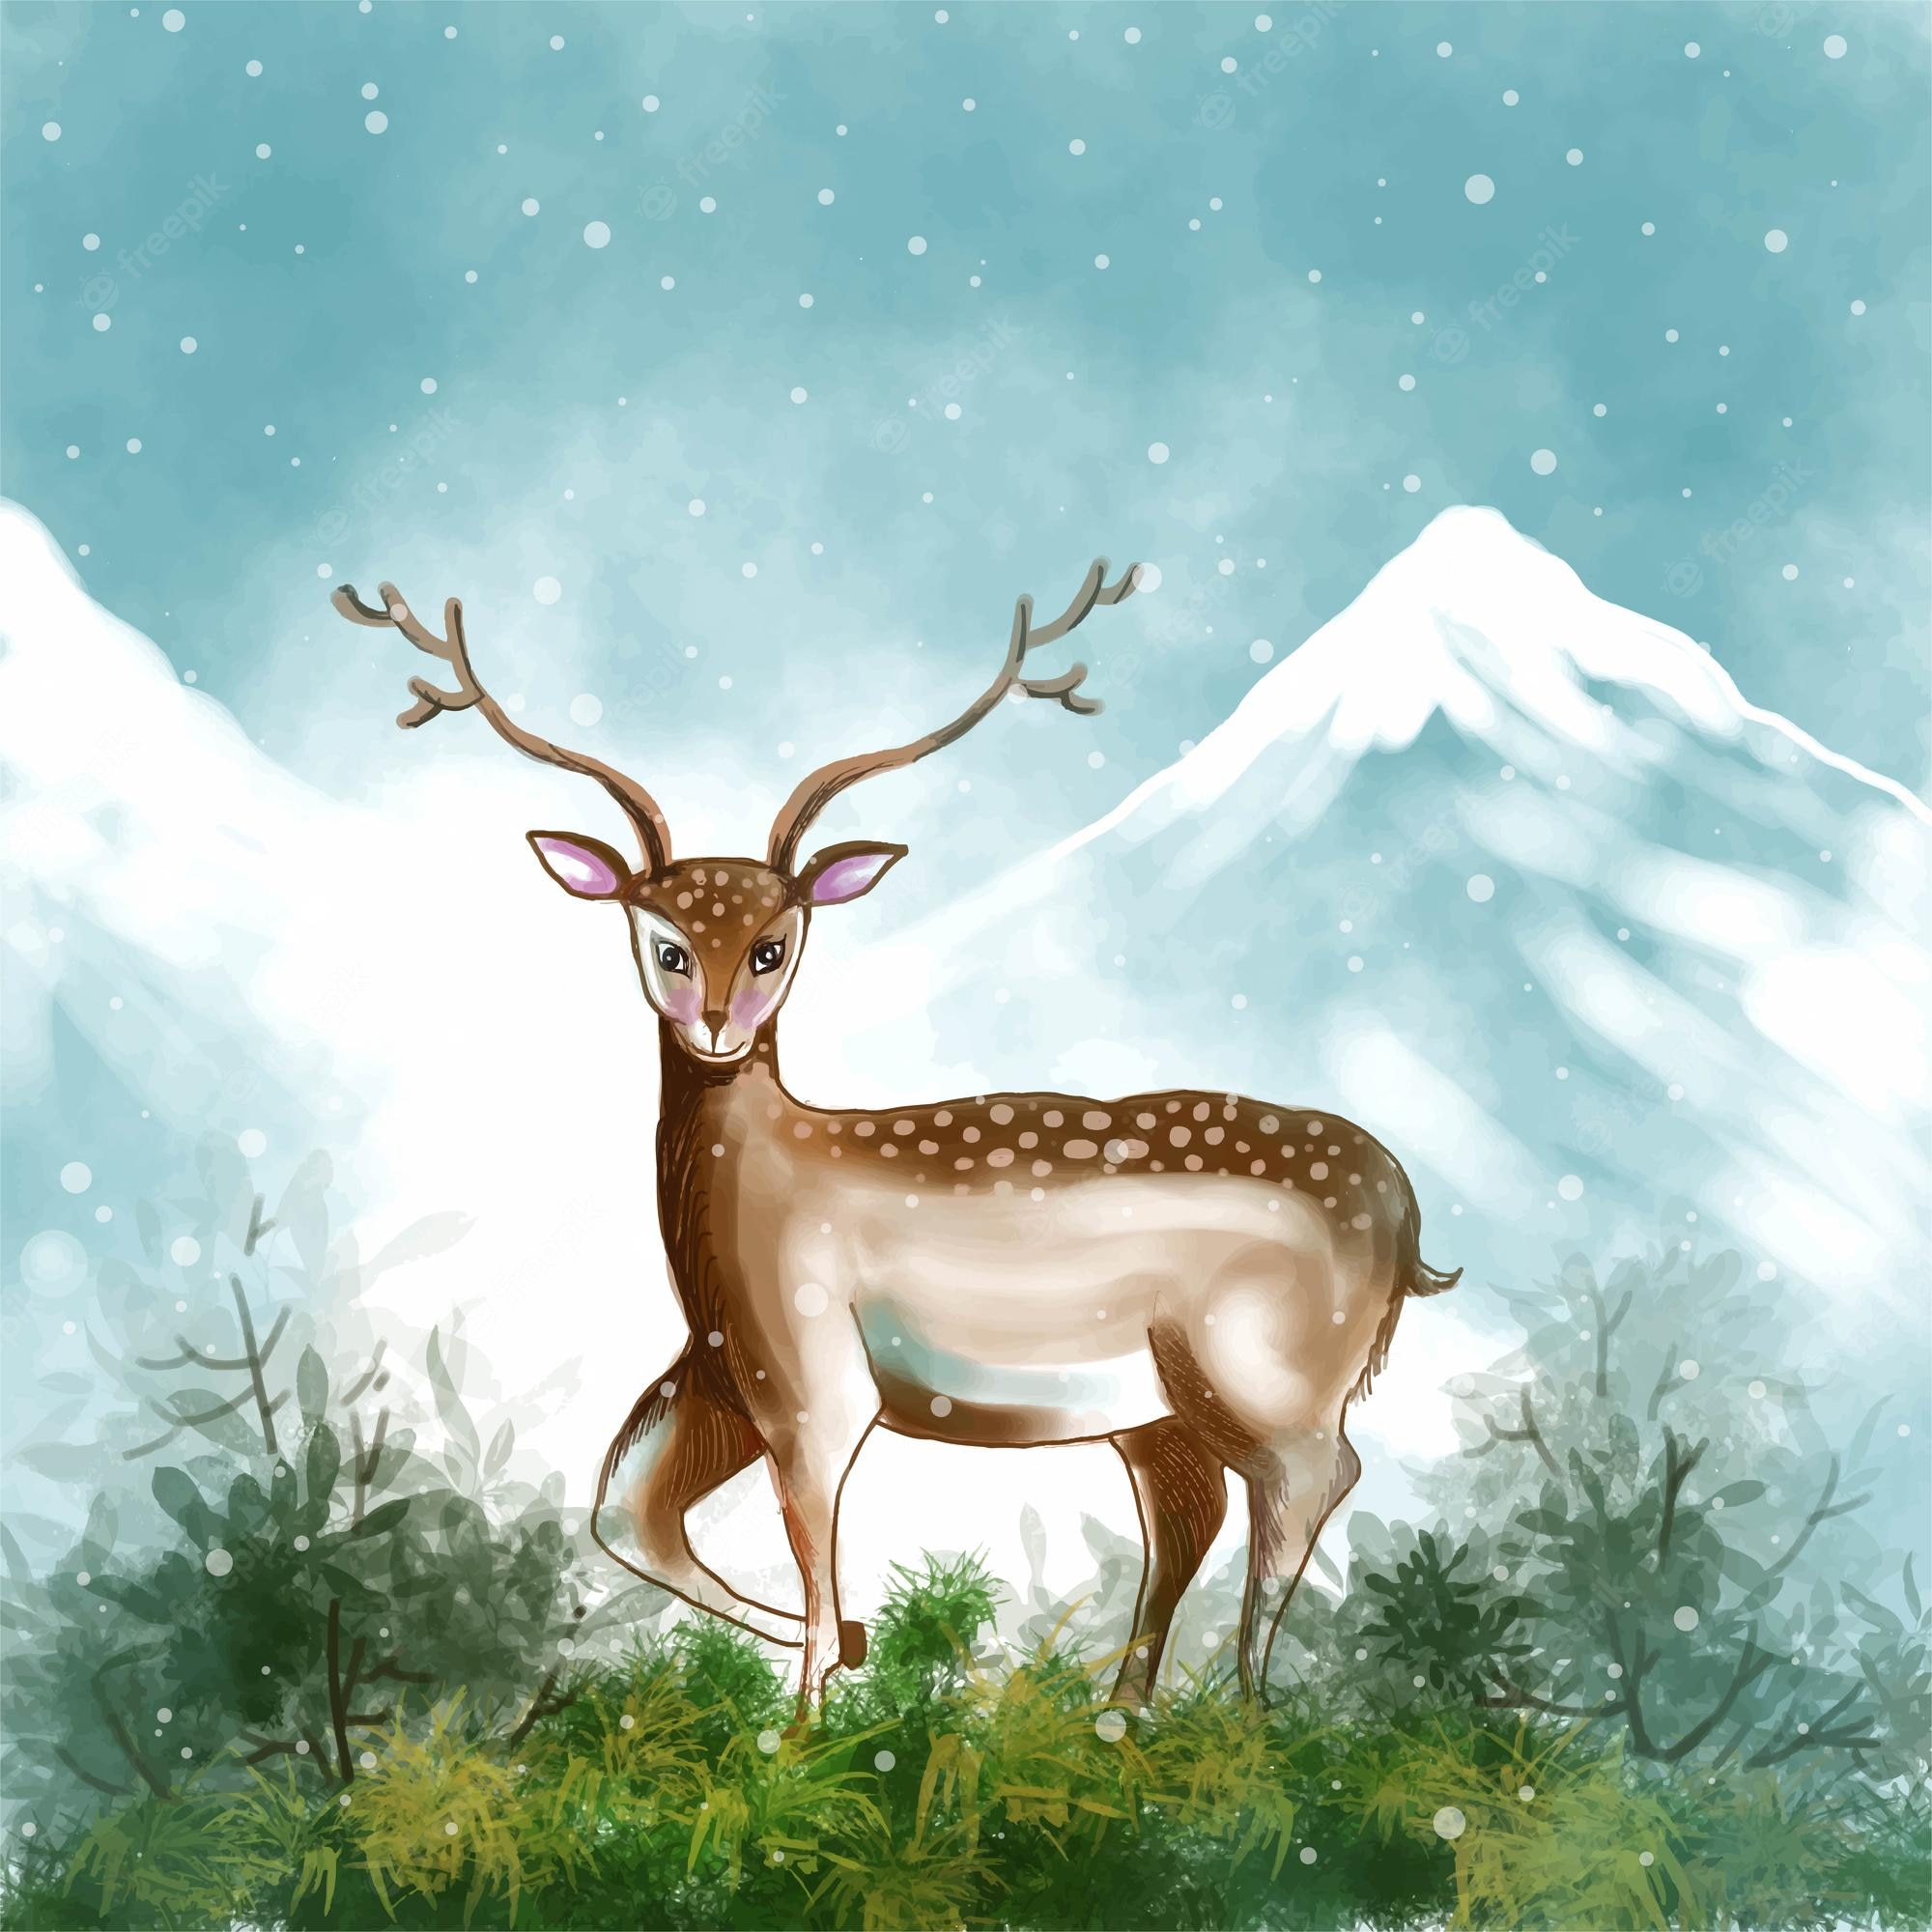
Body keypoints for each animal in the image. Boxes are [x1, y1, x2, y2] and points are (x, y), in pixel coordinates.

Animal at [333, 558, 1458, 1723]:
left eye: (775, 943)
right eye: (663, 940)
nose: (719, 1025)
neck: (734, 1221)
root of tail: (1407, 1220)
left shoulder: (811, 1368)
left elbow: (808, 1542)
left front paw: (802, 1724)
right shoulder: (719, 1366)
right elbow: (625, 1511)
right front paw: (854, 1648)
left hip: (1269, 1366)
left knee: (1312, 1477)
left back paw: (1249, 1716)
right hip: (1153, 1407)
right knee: (1192, 1511)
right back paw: (1123, 1715)